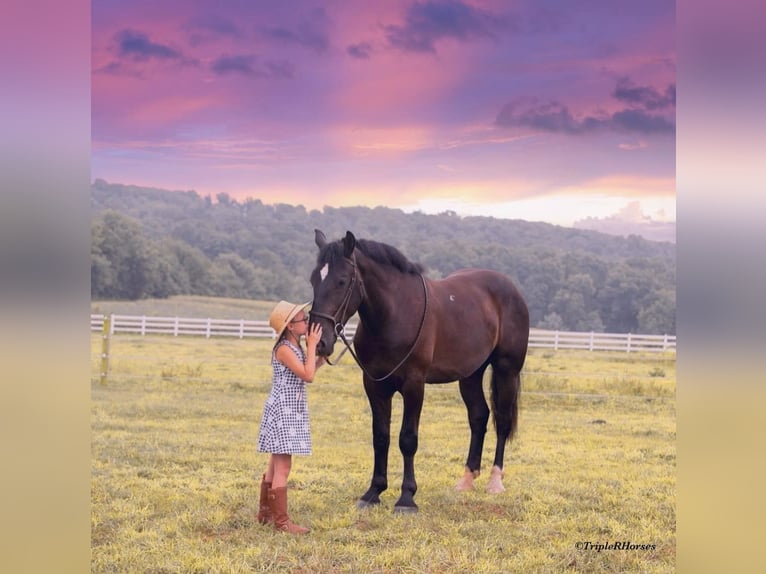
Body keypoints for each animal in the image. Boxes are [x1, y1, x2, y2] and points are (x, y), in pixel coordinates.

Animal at [308, 232, 532, 516]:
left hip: (507, 370)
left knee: (502, 421)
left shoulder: (414, 385)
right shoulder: (374, 385)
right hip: (470, 375)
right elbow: (380, 437)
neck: (394, 314)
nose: (318, 341)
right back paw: (466, 479)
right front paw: (373, 492)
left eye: (341, 281)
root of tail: (511, 289)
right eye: (314, 279)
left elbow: (407, 439)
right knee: (479, 417)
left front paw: (406, 498)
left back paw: (495, 482)